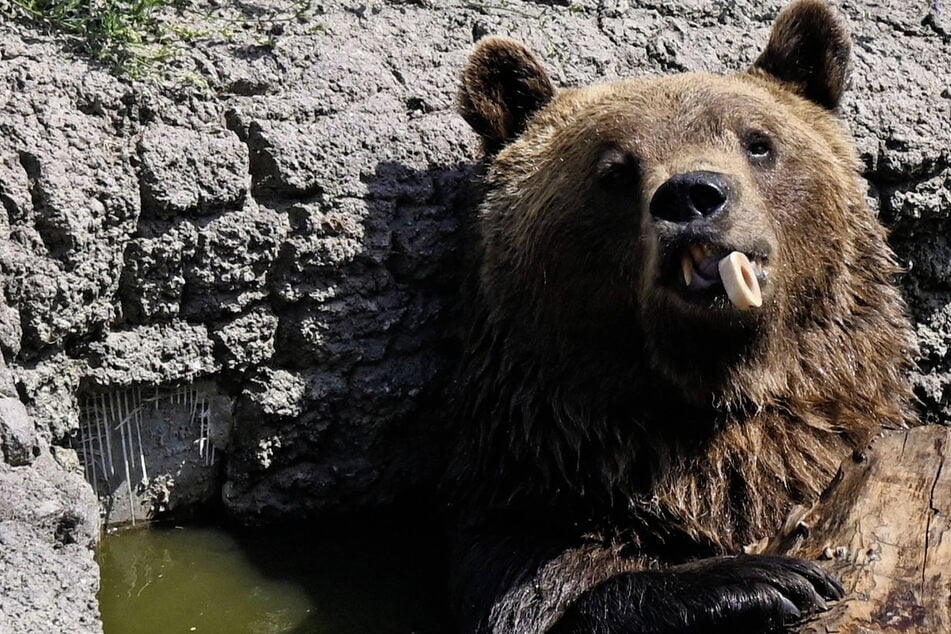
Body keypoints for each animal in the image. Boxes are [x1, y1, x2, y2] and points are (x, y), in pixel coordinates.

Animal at [444, 1, 916, 632]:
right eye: (614, 169)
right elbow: (544, 592)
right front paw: (761, 581)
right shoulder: (525, 517)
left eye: (758, 142)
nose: (691, 195)